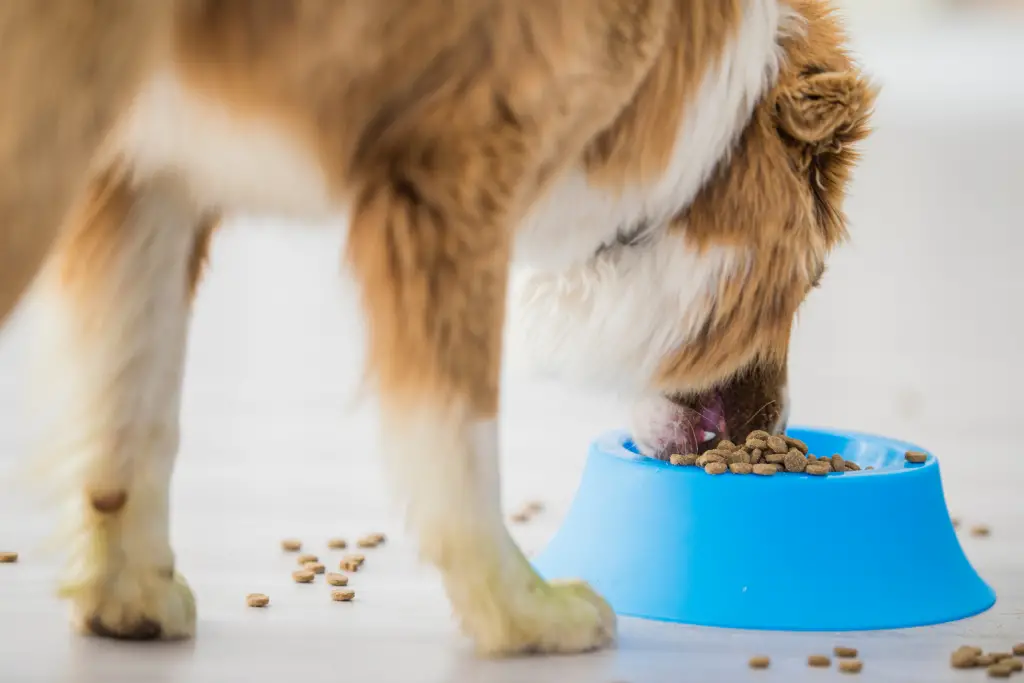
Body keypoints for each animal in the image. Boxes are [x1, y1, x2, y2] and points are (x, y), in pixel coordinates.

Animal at [0, 0, 872, 655]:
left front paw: (128, 598)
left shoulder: (145, 174)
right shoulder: (451, 178)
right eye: (810, 282)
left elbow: (133, 411)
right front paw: (520, 612)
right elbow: (461, 439)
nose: (774, 433)